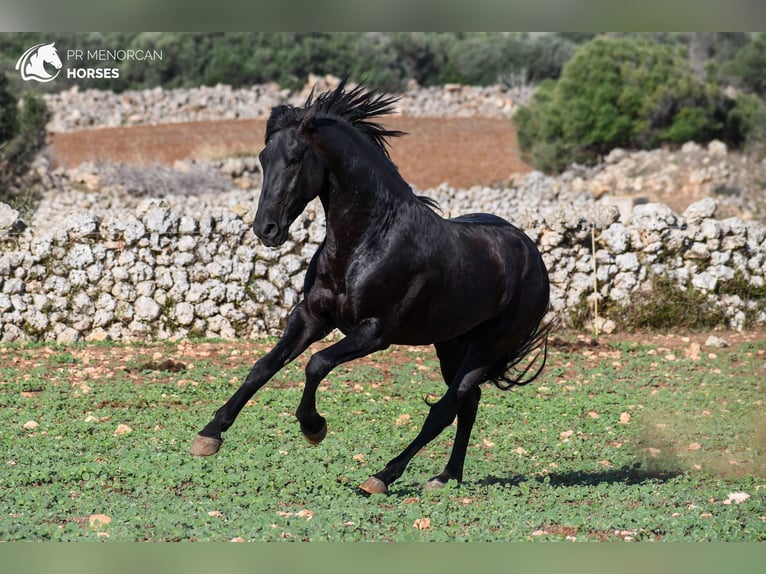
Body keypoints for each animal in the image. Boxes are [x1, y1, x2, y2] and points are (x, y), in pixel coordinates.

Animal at [191, 81, 552, 496]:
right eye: (264, 158)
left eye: (295, 158)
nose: (266, 229)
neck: (368, 240)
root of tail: (533, 256)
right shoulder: (311, 317)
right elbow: (263, 366)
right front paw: (209, 435)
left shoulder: (374, 332)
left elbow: (316, 364)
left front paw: (313, 427)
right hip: (450, 344)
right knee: (469, 402)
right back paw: (446, 476)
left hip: (488, 345)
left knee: (446, 407)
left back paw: (383, 476)